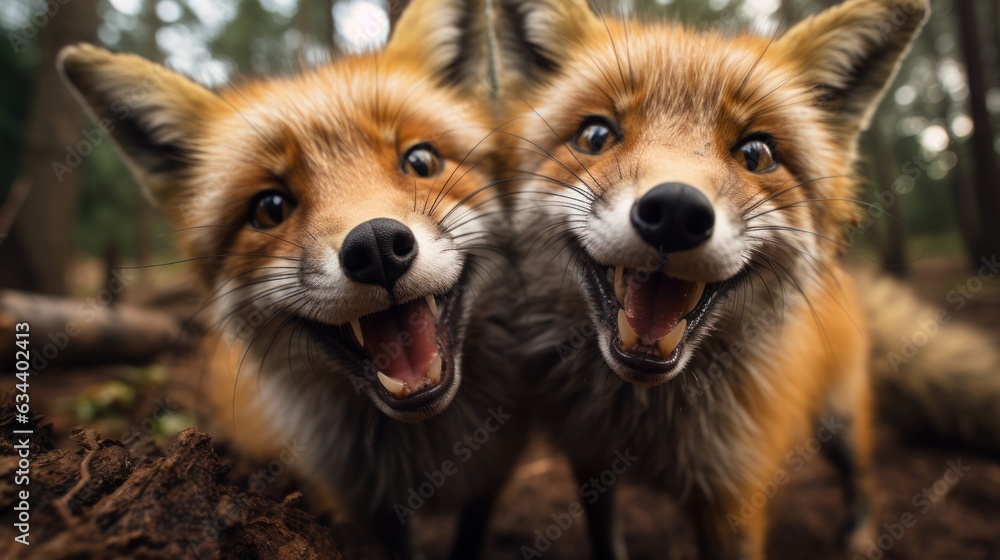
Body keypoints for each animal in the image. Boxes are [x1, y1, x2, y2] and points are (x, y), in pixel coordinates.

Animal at [57, 0, 526, 557]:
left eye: (420, 160)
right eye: (270, 207)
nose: (375, 247)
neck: (426, 447)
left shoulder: (493, 477)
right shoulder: (363, 505)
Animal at [494, 0, 1000, 558]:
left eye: (757, 154)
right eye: (596, 136)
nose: (675, 211)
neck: (644, 415)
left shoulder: (733, 495)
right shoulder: (591, 464)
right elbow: (606, 539)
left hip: (839, 424)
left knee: (862, 476)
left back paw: (860, 533)